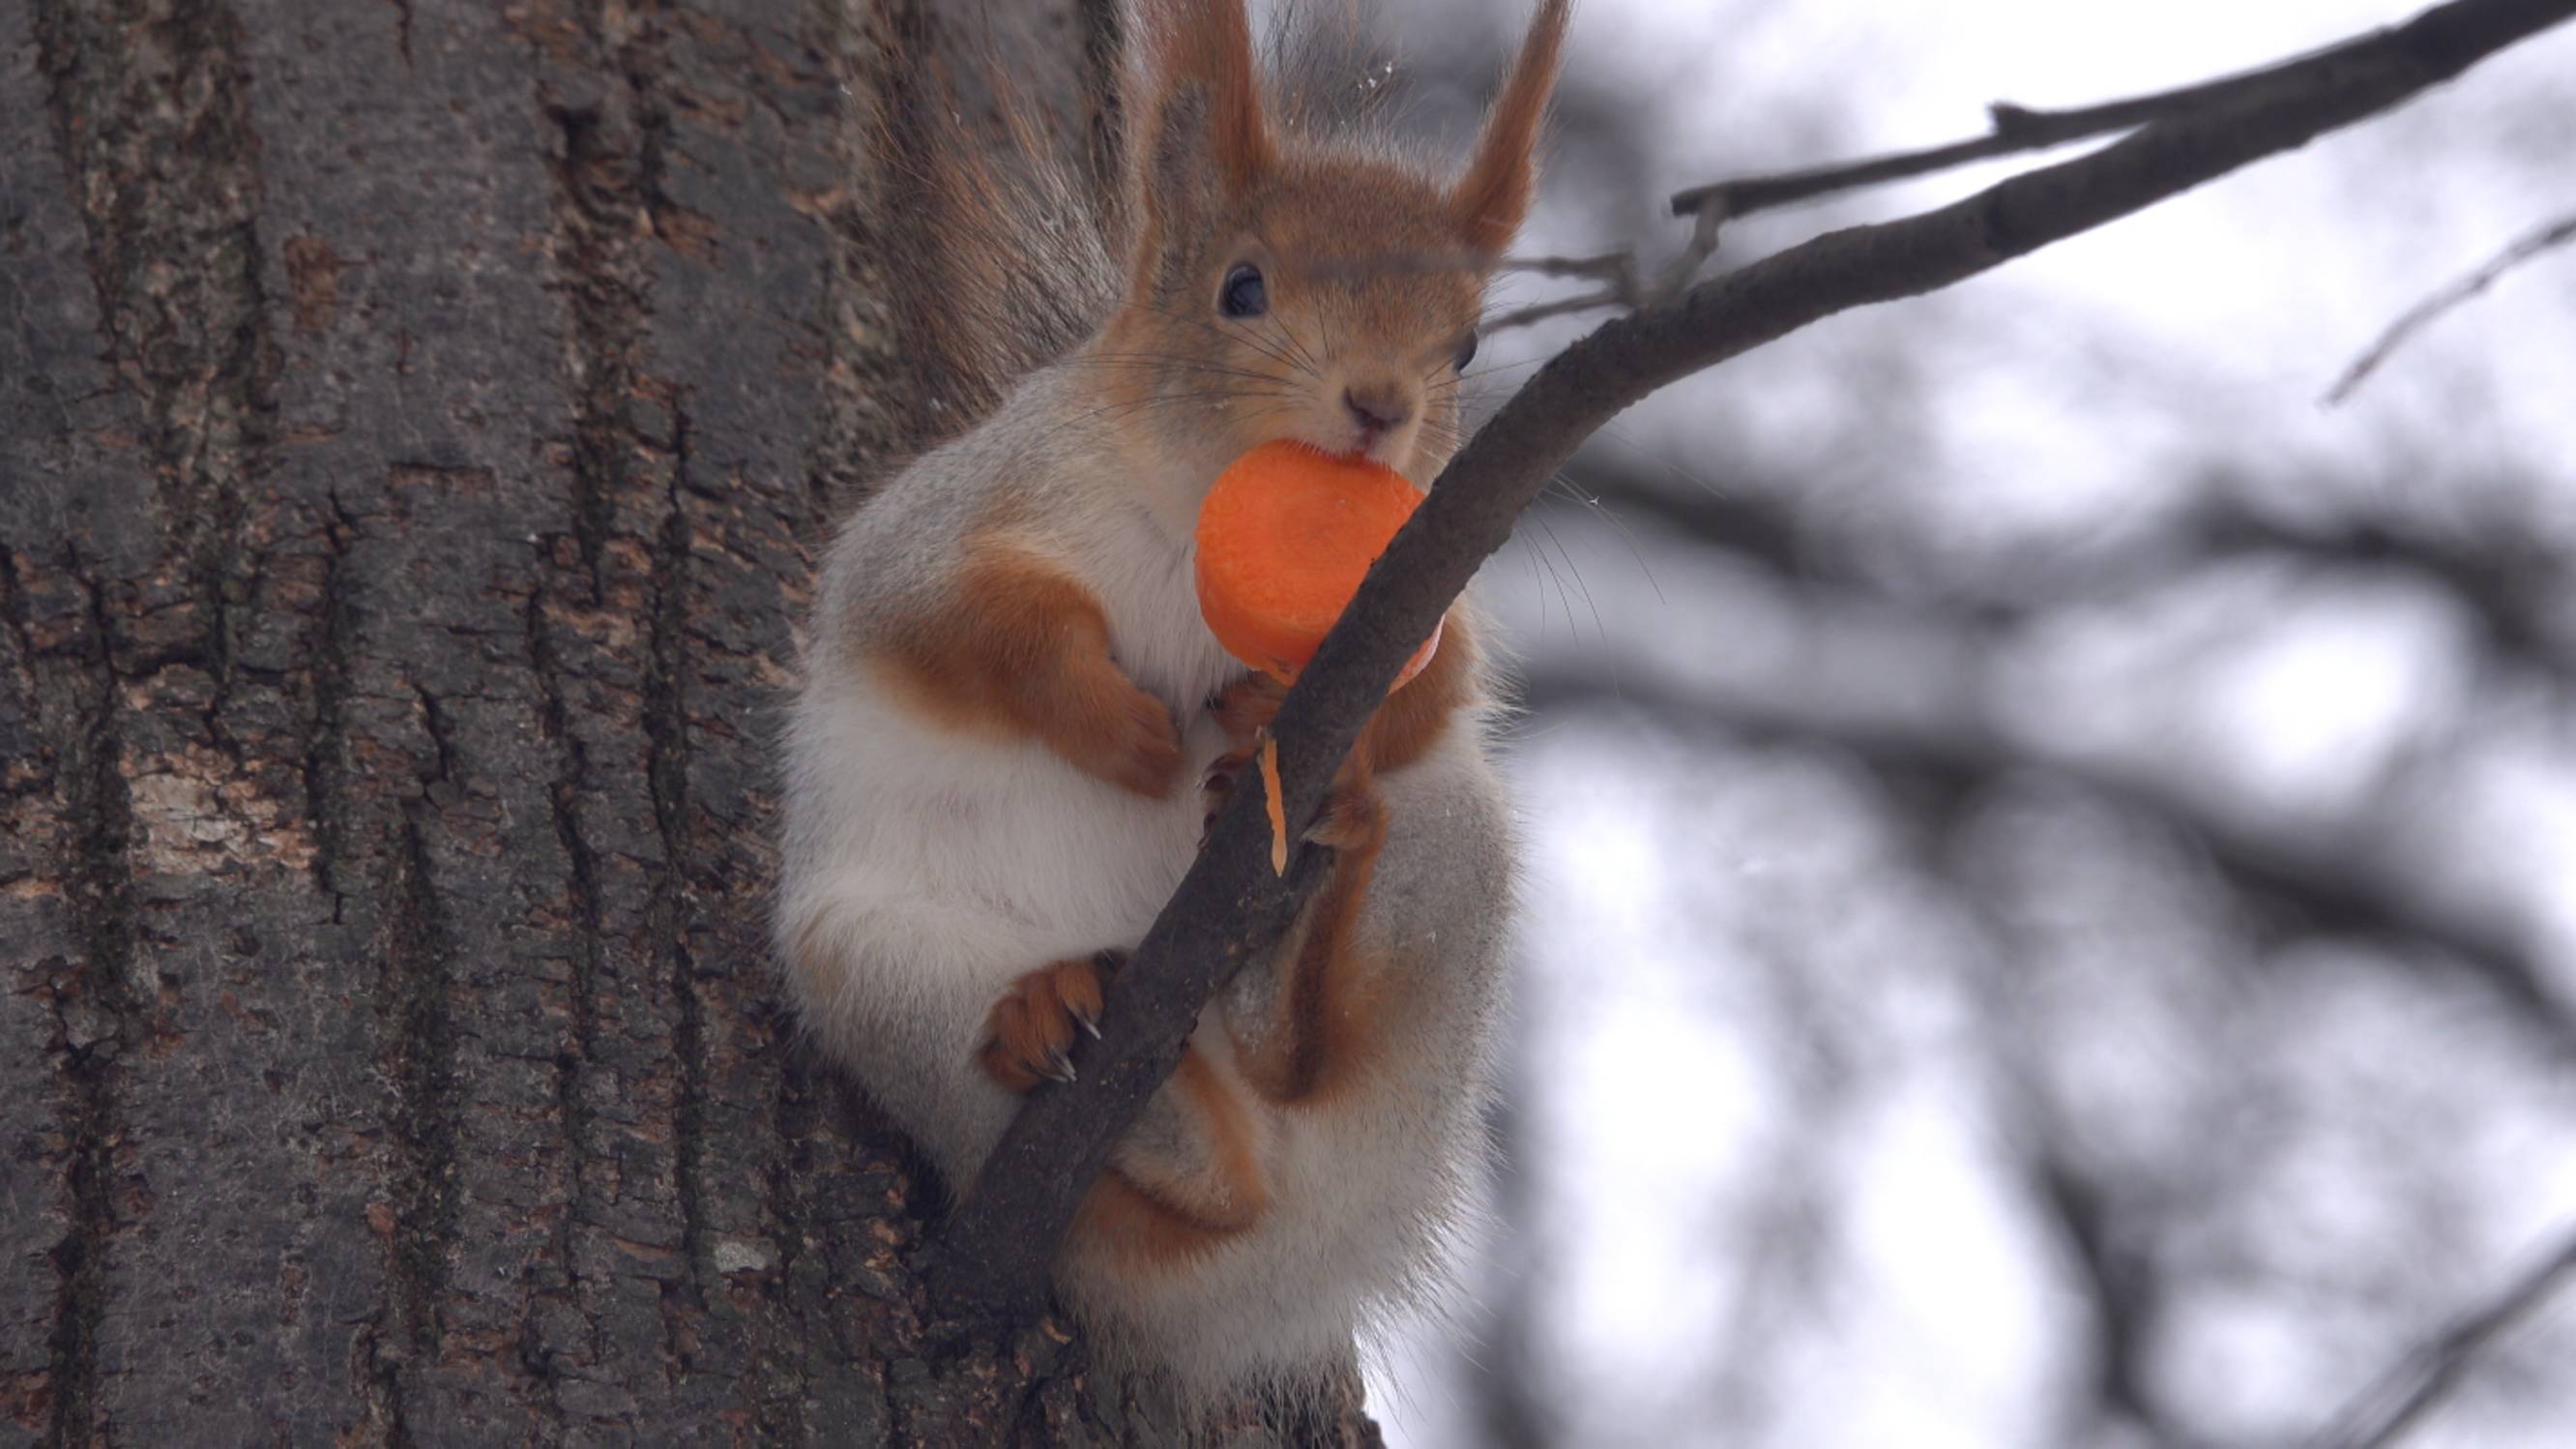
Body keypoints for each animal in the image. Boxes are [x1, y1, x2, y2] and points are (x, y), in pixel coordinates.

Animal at [767, 0, 1566, 1412]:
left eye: (1466, 341)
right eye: (1242, 288)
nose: (1381, 406)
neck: (1201, 512)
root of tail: (1293, 1267)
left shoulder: (1432, 596)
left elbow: (1443, 689)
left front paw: (1265, 710)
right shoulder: (949, 518)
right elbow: (962, 614)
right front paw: (1120, 724)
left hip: (1453, 873)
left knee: (1315, 1032)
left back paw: (1299, 930)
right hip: (869, 967)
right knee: (1160, 1167)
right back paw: (1115, 1076)